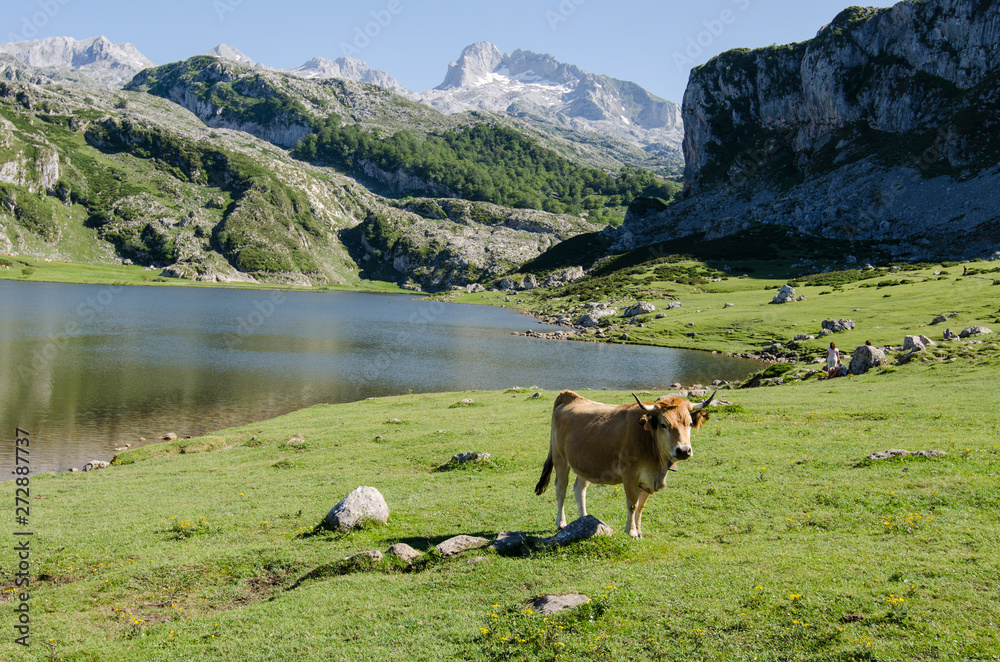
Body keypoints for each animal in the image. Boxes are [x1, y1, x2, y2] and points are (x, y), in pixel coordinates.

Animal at [536, 394, 716, 540]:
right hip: (560, 459)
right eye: (664, 424)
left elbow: (641, 507)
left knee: (579, 489)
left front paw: (639, 531)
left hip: (584, 464)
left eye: (690, 423)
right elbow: (632, 504)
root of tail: (569, 397)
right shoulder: (630, 474)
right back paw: (561, 523)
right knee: (561, 490)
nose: (683, 450)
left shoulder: (648, 479)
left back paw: (583, 520)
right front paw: (631, 531)